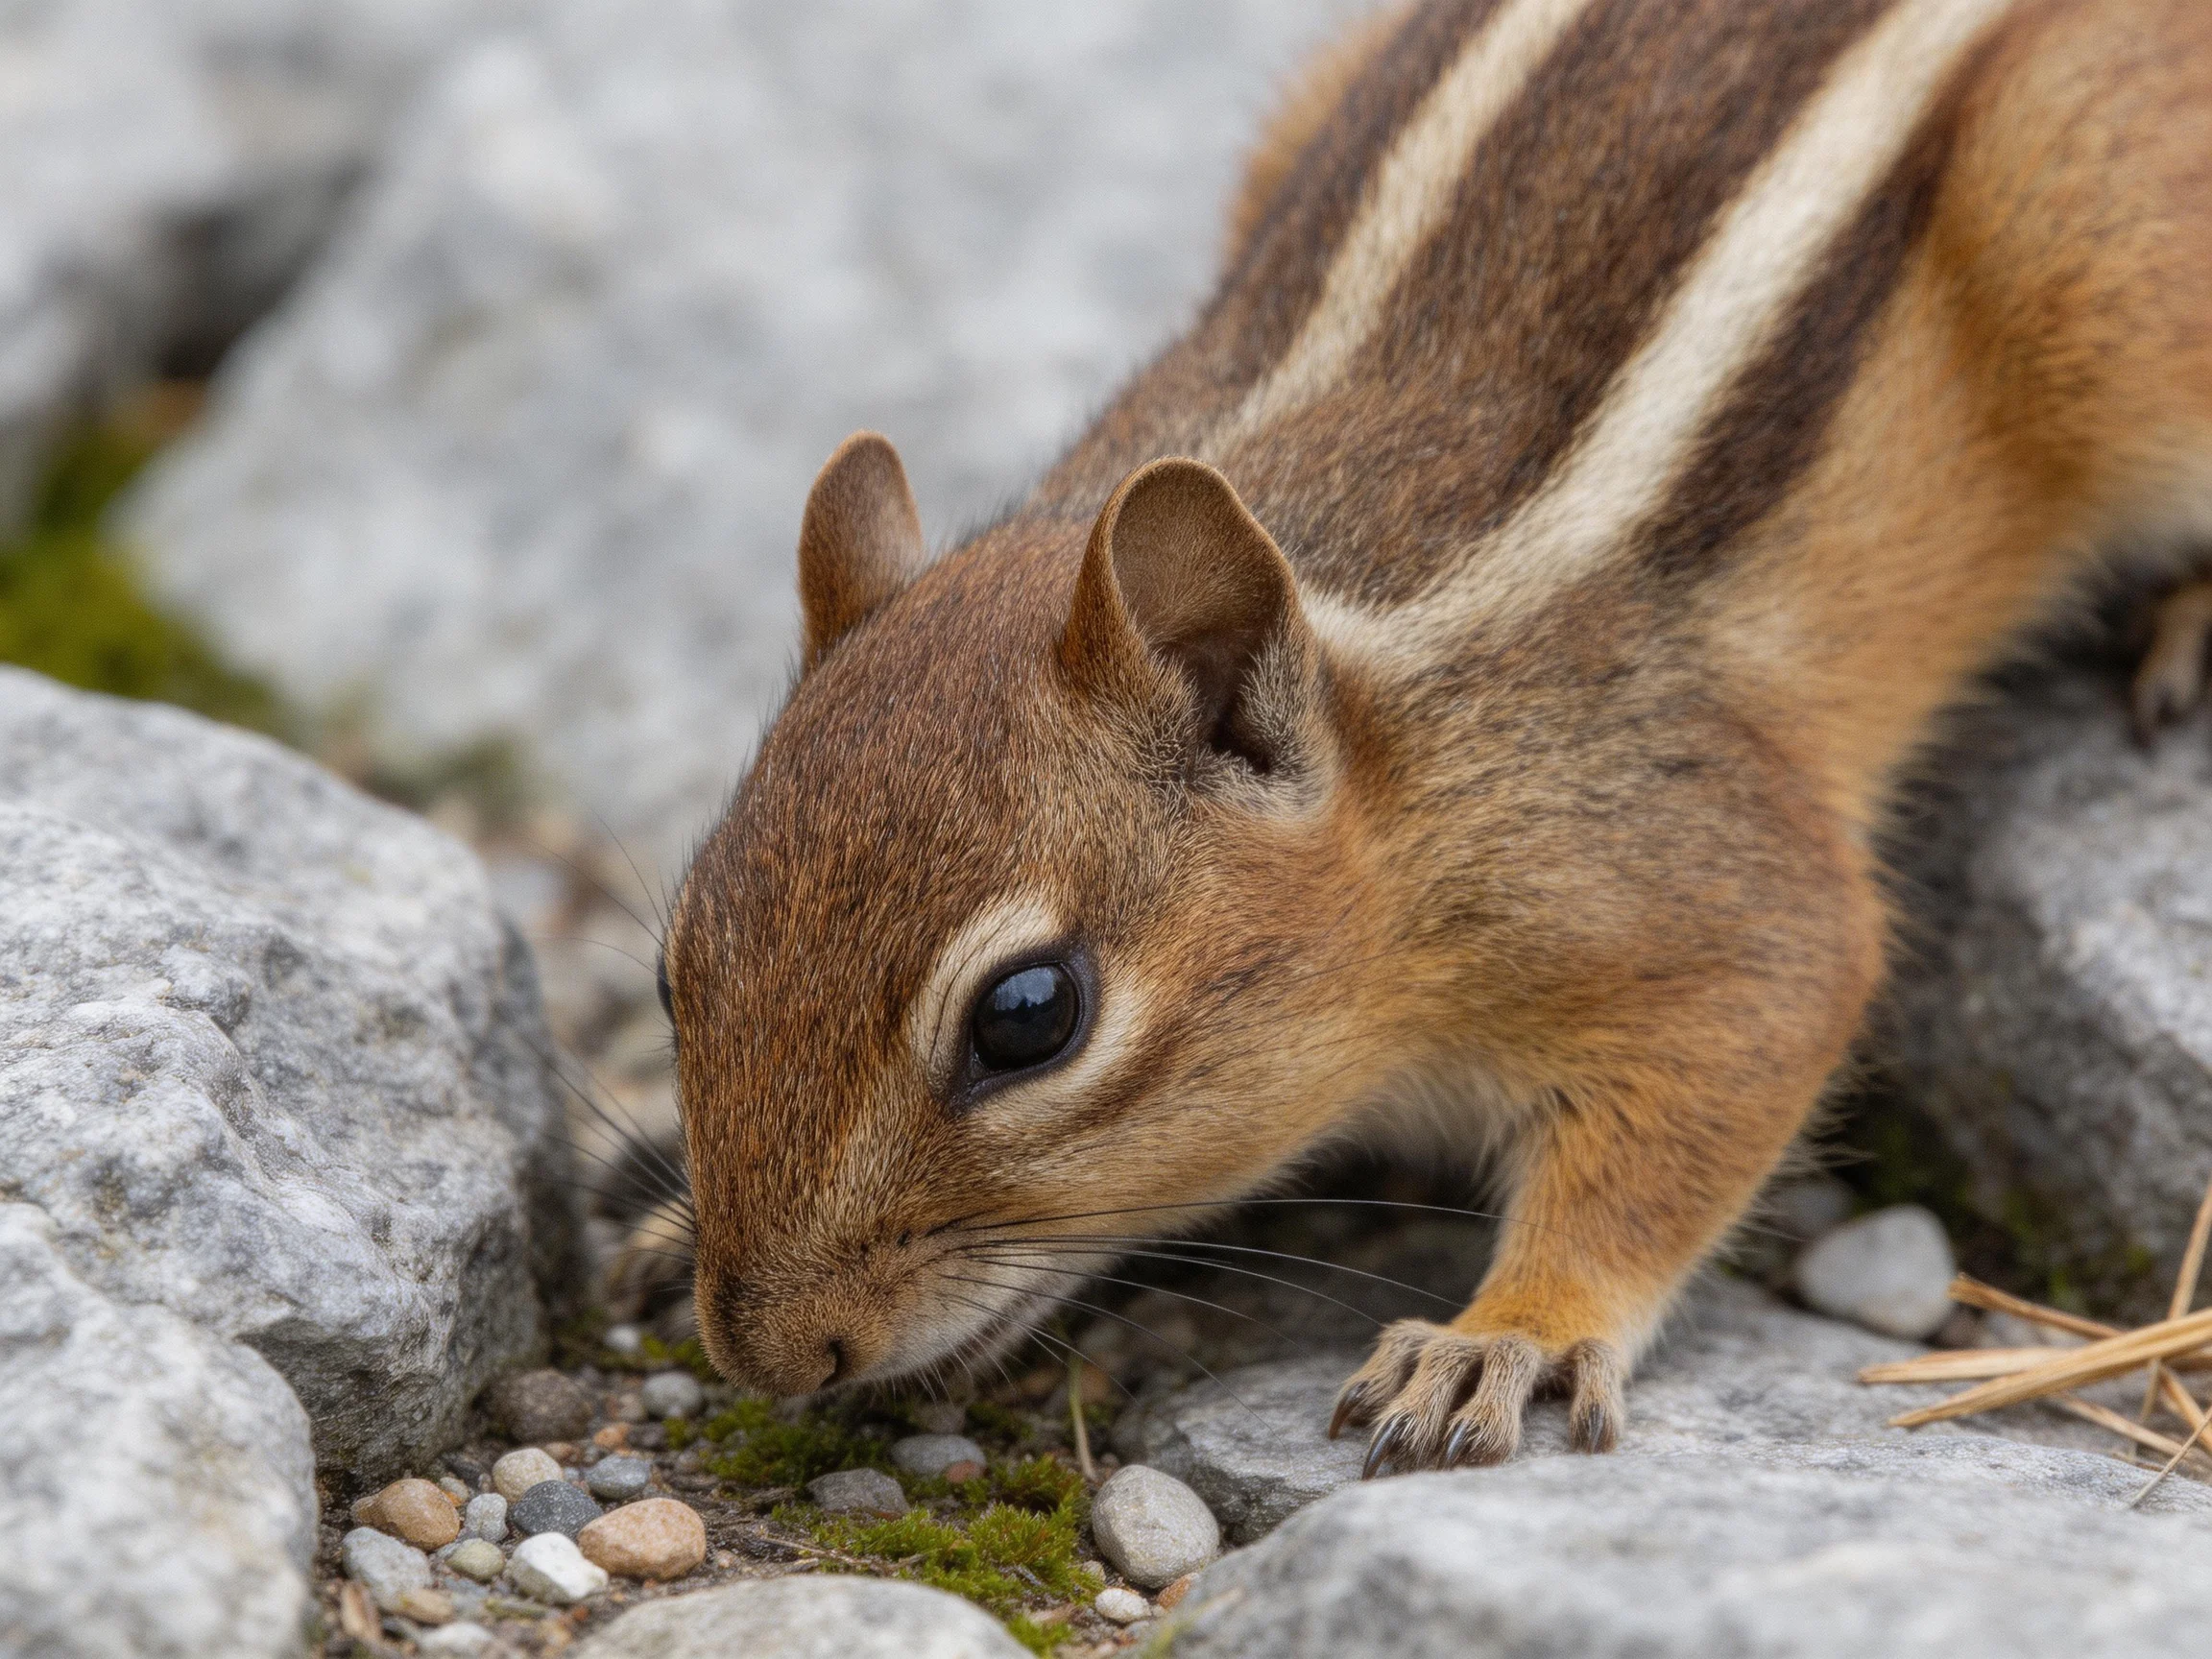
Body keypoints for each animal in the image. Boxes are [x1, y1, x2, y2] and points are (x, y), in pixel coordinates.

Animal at [657, 0, 2212, 1474]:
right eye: (676, 969)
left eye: (1029, 1018)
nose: (769, 1350)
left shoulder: (1693, 873)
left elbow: (1721, 1072)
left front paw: (1505, 1334)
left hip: (2105, 263)